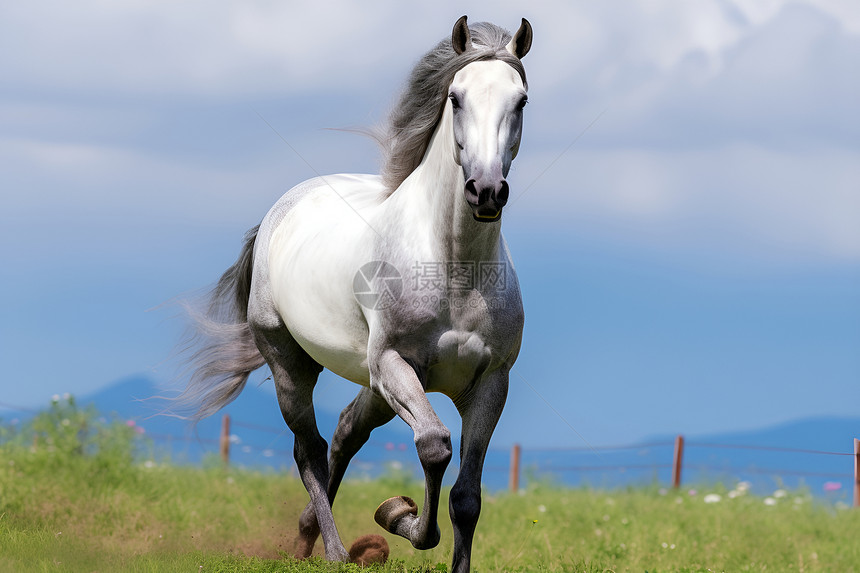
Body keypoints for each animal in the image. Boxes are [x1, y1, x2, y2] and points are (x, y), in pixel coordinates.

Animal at [177, 15, 532, 568]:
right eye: (456, 98)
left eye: (521, 101)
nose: (486, 190)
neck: (454, 271)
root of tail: (283, 207)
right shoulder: (393, 364)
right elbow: (434, 445)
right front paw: (400, 517)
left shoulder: (490, 383)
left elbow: (467, 498)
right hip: (294, 363)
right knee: (310, 449)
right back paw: (333, 550)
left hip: (379, 386)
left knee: (346, 432)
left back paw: (306, 536)